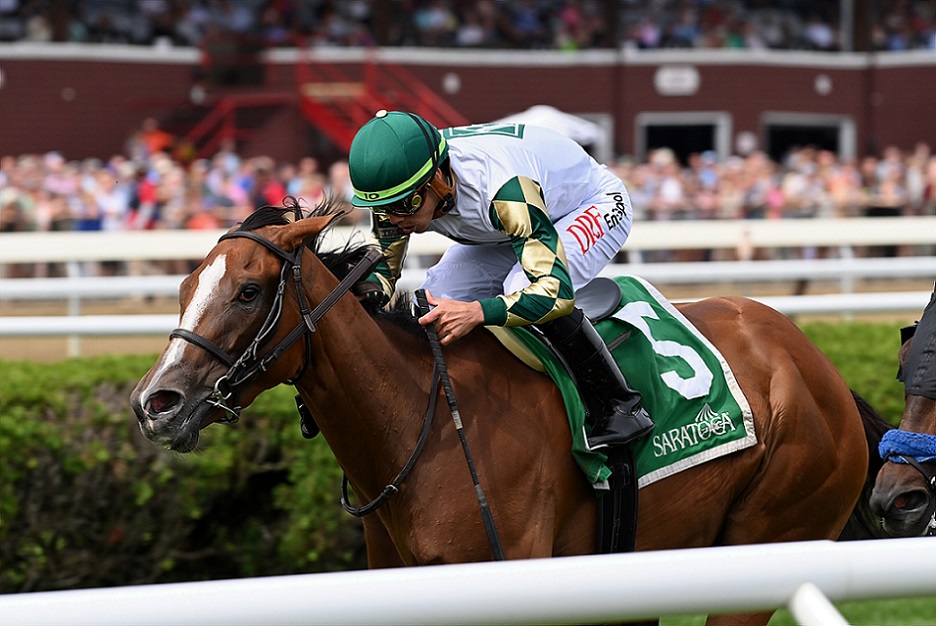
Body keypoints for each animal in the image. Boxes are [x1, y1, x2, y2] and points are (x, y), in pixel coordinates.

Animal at [131, 201, 879, 626]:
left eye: (249, 290)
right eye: (186, 285)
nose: (155, 403)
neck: (424, 421)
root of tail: (818, 366)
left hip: (772, 536)